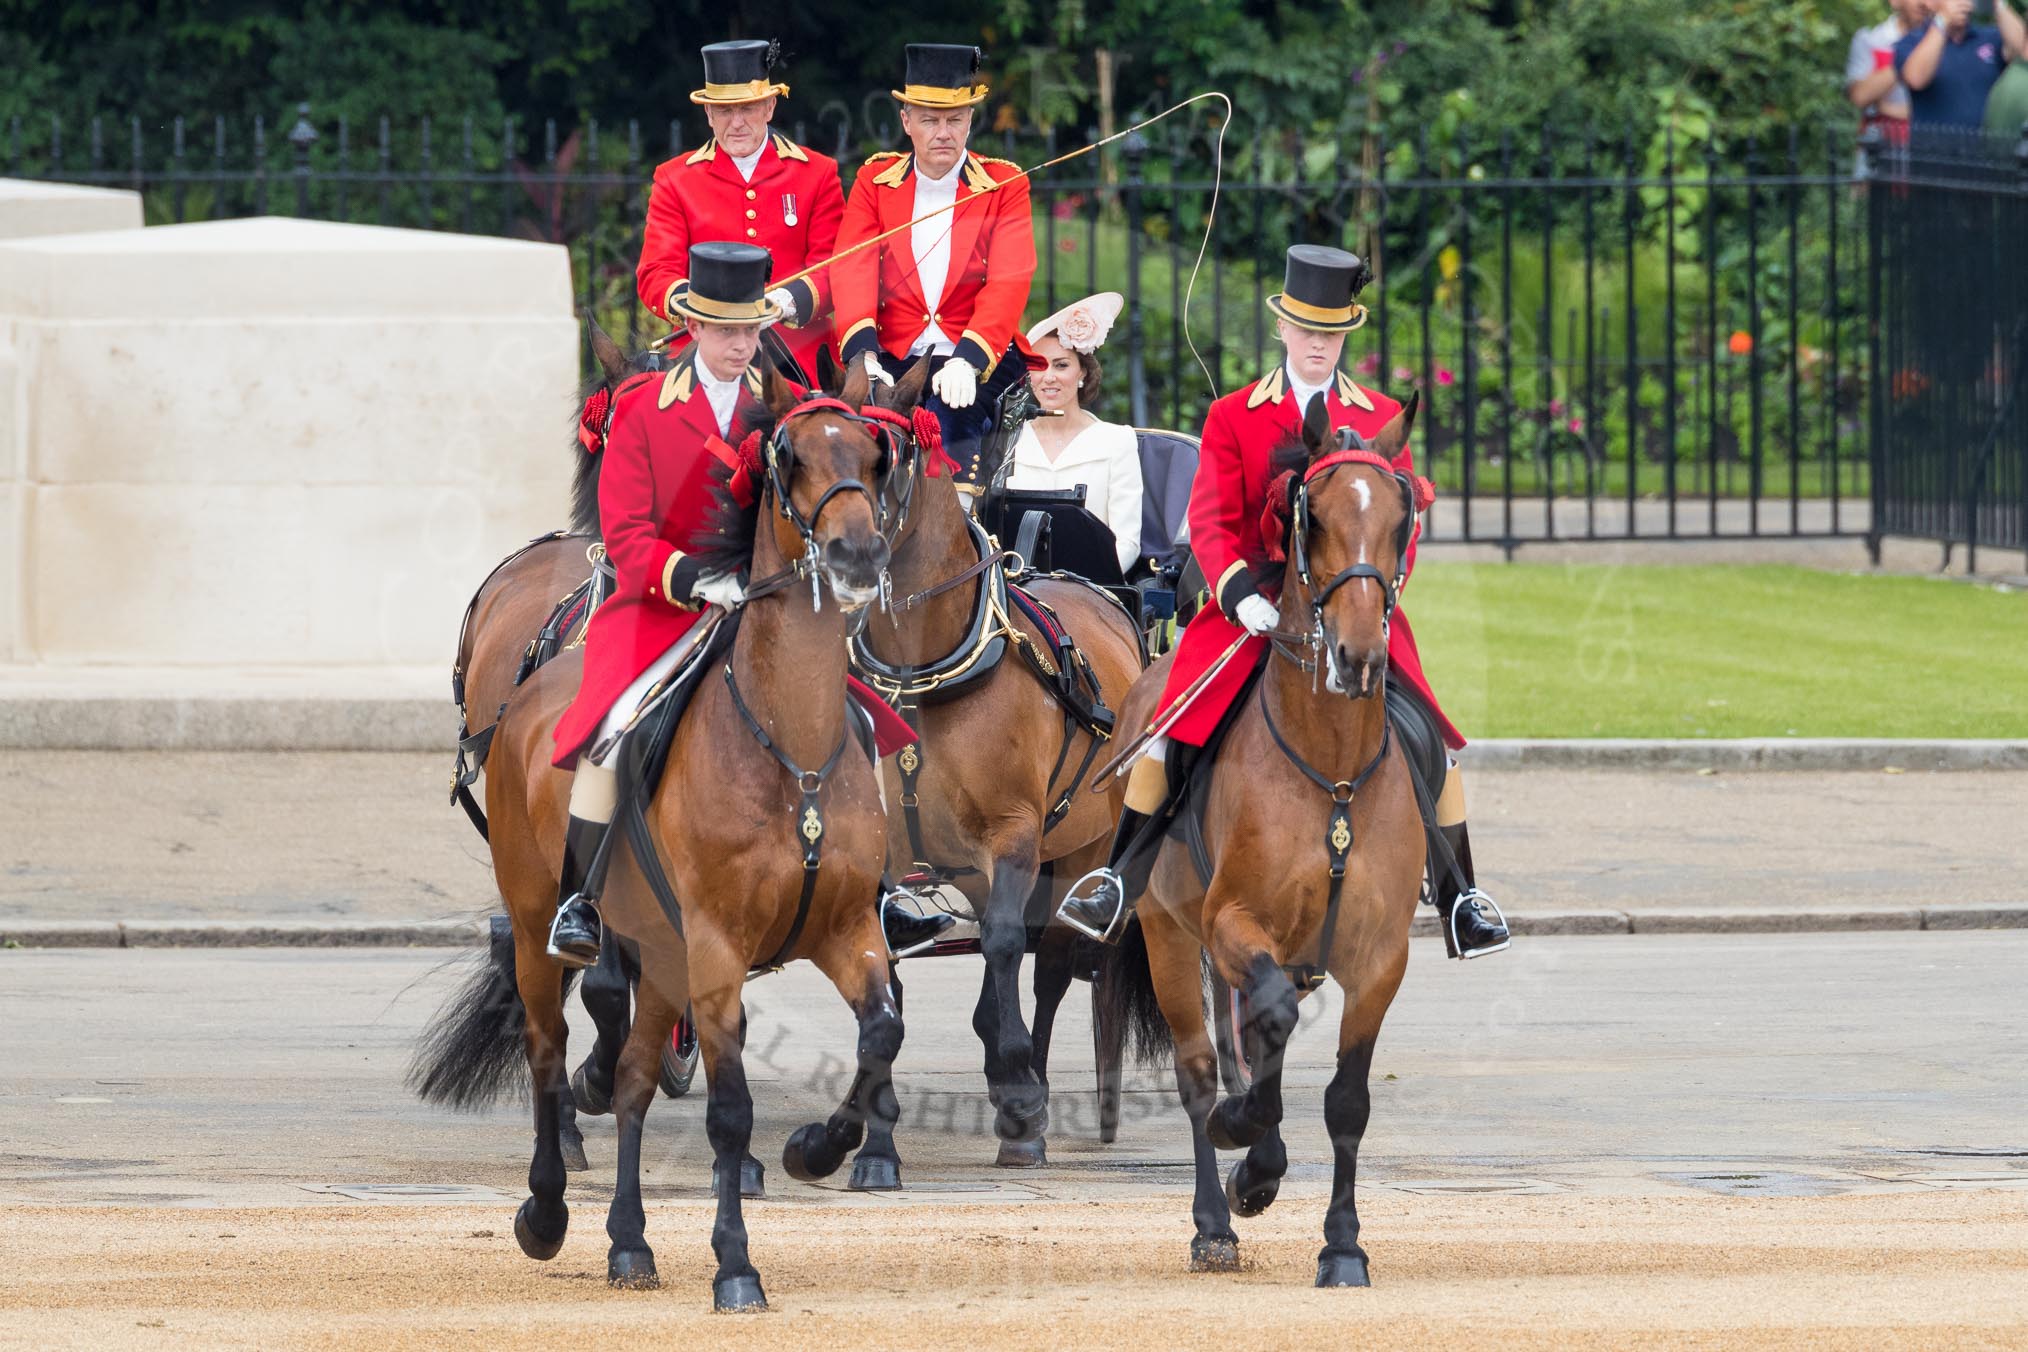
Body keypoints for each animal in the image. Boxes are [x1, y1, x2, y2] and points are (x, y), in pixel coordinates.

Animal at [413, 358, 920, 1313]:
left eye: (877, 457)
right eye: (789, 456)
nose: (859, 555)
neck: (790, 742)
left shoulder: (846, 930)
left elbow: (881, 1034)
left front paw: (817, 1149)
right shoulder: (717, 949)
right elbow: (729, 1112)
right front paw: (736, 1264)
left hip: (663, 953)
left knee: (637, 1080)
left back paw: (628, 1242)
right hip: (546, 930)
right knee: (549, 1049)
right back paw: (547, 1212)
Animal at [1111, 391, 1427, 1289]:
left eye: (1401, 515)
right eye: (1309, 514)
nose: (1358, 656)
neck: (1333, 773)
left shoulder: (1379, 957)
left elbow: (1346, 1099)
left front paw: (1343, 1244)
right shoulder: (1230, 924)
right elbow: (1259, 1042)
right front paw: (1243, 1143)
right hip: (1169, 934)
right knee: (1202, 1068)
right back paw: (1217, 1215)